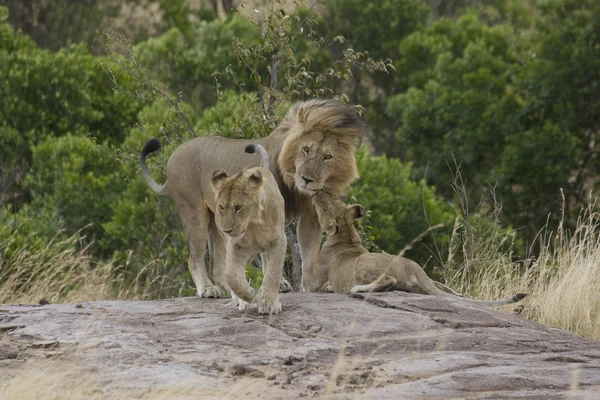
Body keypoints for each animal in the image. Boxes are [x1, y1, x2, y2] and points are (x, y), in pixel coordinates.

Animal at [141, 99, 366, 296]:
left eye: (327, 157)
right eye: (306, 149)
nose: (307, 179)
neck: (294, 184)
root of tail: (173, 155)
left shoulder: (310, 216)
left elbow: (310, 253)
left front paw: (312, 285)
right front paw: (280, 283)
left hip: (219, 220)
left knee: (218, 263)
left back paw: (233, 288)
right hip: (194, 212)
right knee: (194, 257)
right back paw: (207, 289)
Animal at [210, 145, 284, 316]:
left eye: (238, 207)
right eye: (221, 207)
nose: (227, 230)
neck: (253, 225)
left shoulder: (279, 241)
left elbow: (273, 273)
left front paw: (269, 303)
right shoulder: (236, 245)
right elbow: (232, 275)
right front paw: (251, 296)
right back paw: (243, 300)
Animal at [310, 192, 524, 308]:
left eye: (325, 206)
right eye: (334, 199)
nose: (317, 192)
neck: (346, 235)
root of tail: (412, 266)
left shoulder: (312, 282)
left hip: (364, 262)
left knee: (387, 281)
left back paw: (357, 288)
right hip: (424, 282)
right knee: (442, 287)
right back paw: (459, 295)